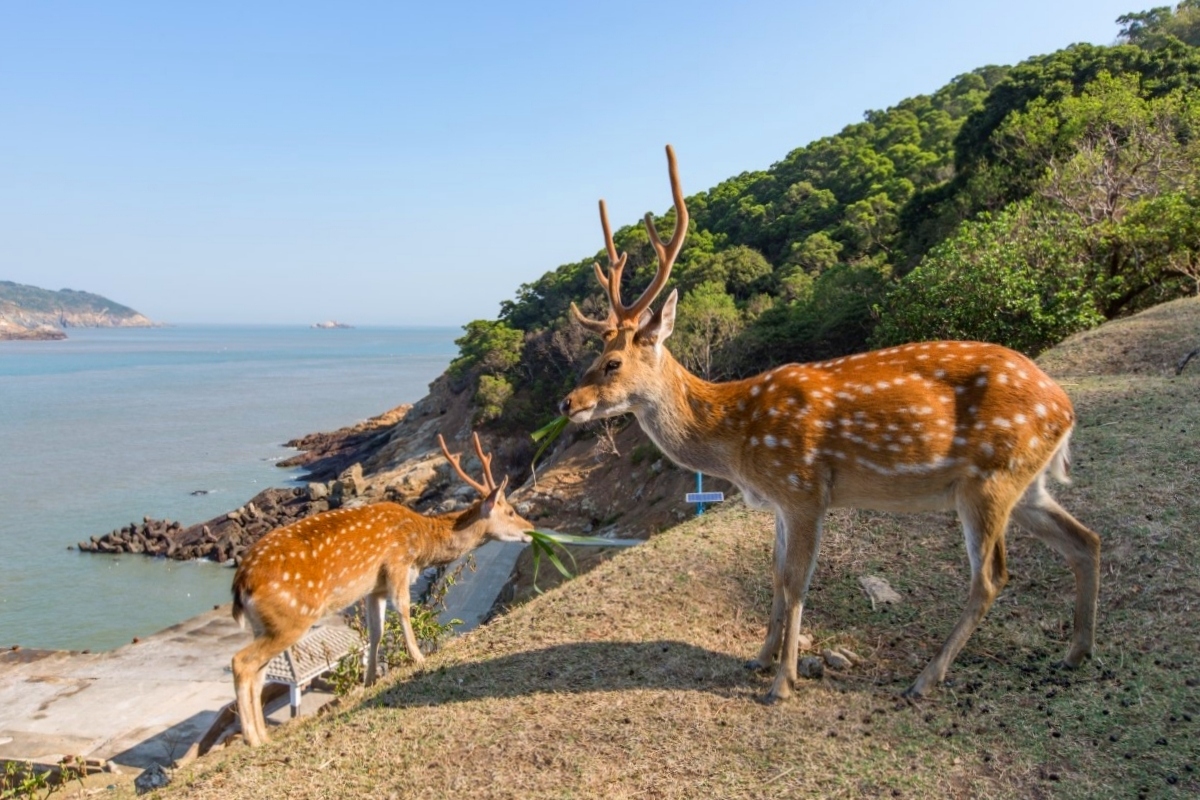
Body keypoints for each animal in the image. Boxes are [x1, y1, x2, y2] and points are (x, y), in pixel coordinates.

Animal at [231, 434, 532, 748]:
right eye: (510, 511)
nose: (530, 528)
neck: (421, 545)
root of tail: (241, 583)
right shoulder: (397, 563)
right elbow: (403, 609)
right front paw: (419, 658)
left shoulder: (374, 587)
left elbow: (376, 632)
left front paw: (370, 680)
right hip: (291, 618)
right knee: (241, 662)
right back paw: (252, 739)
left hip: (264, 625)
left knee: (259, 673)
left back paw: (264, 735)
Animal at [556, 146, 1099, 705]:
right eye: (595, 356)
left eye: (612, 363)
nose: (566, 402)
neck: (739, 443)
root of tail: (1064, 407)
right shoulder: (779, 501)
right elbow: (775, 576)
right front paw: (759, 658)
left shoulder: (803, 488)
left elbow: (797, 582)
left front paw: (782, 682)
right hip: (1025, 482)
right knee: (1086, 540)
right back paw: (1076, 651)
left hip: (988, 479)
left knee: (991, 576)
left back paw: (926, 678)